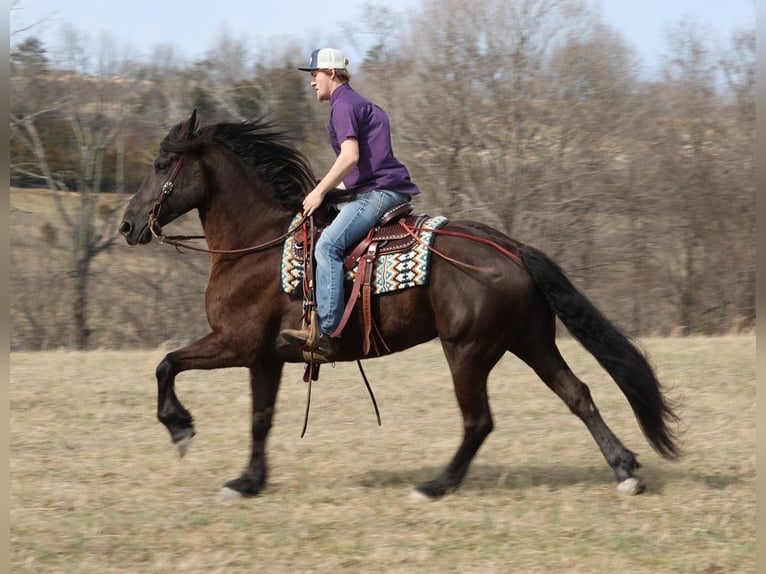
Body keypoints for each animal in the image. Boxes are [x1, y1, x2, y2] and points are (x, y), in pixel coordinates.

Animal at [118, 110, 680, 502]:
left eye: (162, 166)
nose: (126, 226)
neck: (254, 244)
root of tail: (512, 248)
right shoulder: (265, 357)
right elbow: (261, 418)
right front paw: (248, 481)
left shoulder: (235, 343)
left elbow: (166, 364)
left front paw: (180, 426)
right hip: (531, 342)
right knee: (577, 394)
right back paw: (625, 470)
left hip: (468, 351)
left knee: (479, 421)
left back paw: (437, 485)